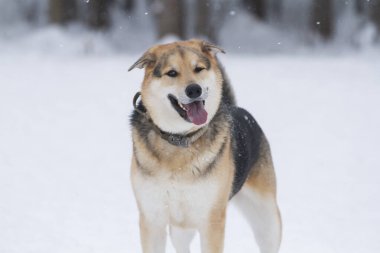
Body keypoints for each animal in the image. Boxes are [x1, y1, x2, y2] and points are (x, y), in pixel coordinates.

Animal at [129, 39, 280, 253]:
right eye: (172, 73)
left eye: (198, 68)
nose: (194, 89)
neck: (180, 139)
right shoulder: (152, 218)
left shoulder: (211, 219)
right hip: (181, 226)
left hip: (267, 219)